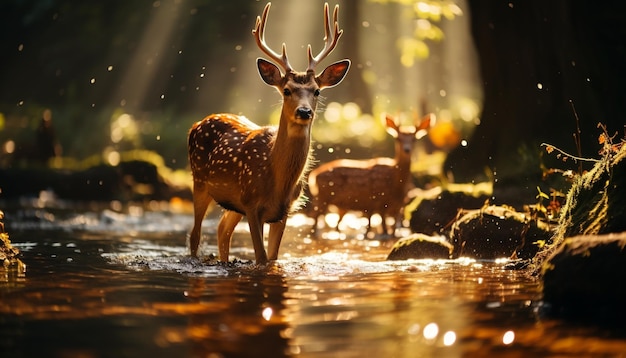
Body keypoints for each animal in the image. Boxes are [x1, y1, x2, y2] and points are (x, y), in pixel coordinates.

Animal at [185, 1, 352, 264]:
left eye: (316, 91)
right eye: (286, 90)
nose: (304, 112)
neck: (276, 180)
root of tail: (197, 123)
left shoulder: (284, 211)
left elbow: (273, 258)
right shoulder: (251, 204)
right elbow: (261, 258)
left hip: (232, 203)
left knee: (222, 230)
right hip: (200, 180)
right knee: (195, 235)